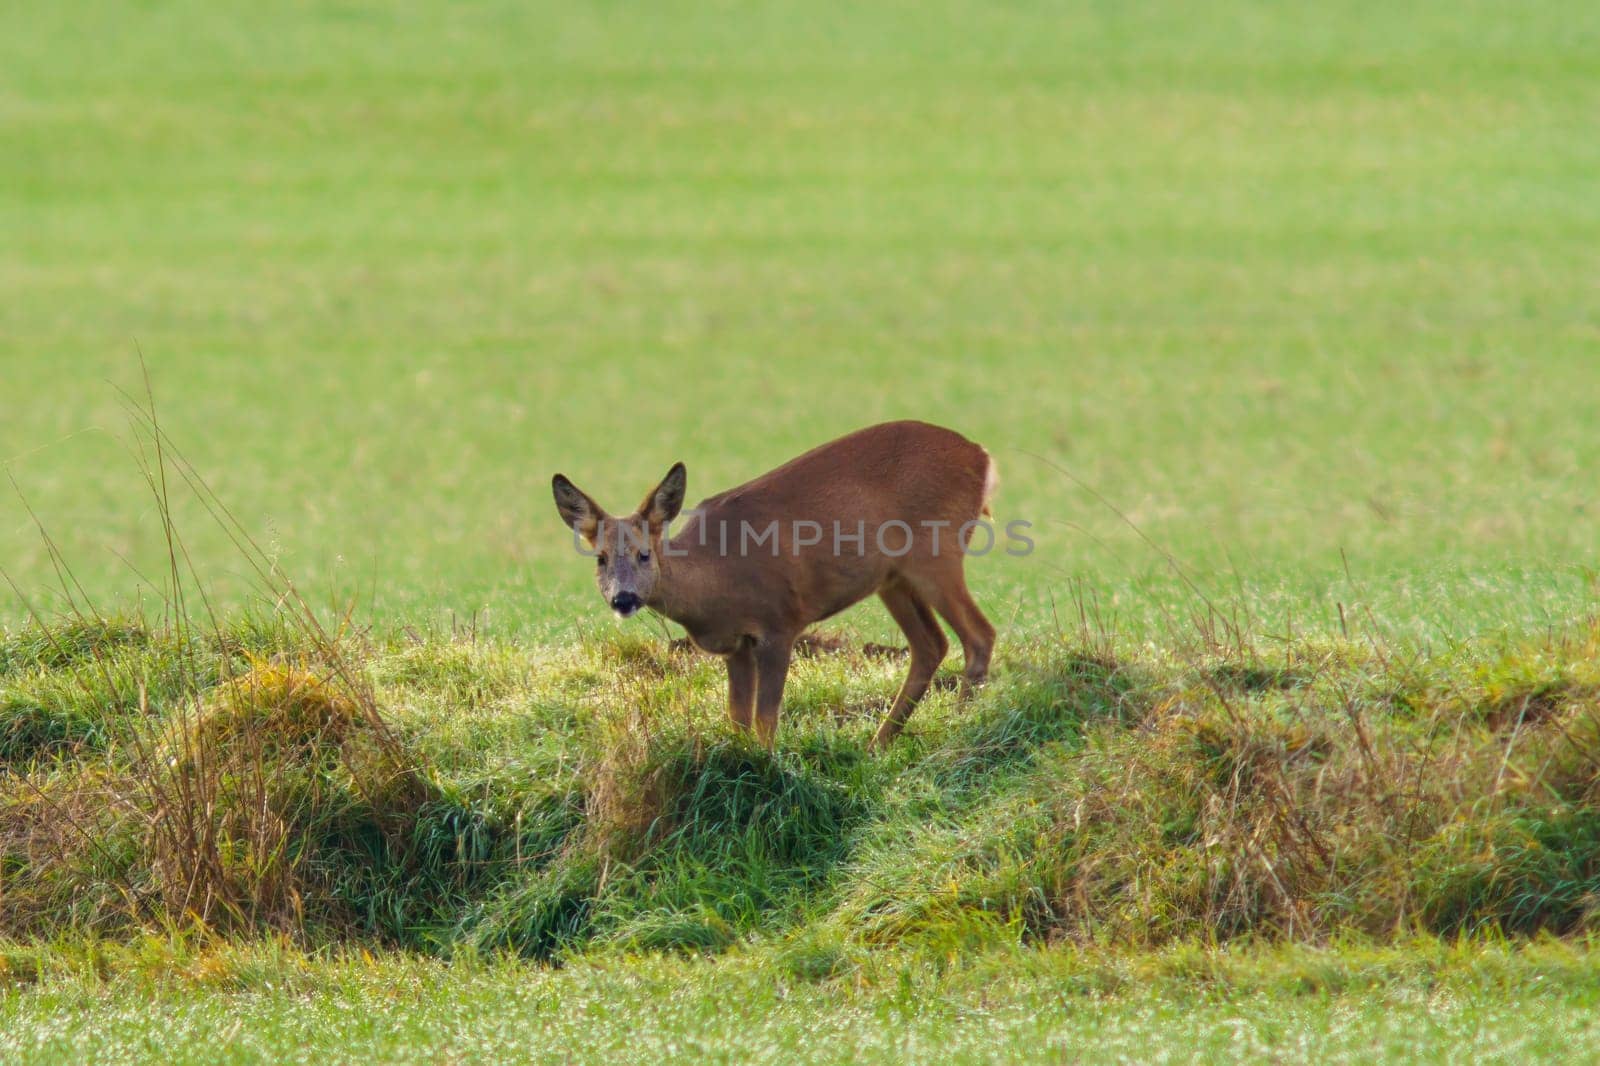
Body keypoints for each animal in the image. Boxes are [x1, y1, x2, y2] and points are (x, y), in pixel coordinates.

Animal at [556, 419, 992, 742]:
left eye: (644, 554)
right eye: (600, 558)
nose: (623, 599)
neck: (715, 579)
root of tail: (982, 456)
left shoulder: (779, 623)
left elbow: (766, 722)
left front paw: (765, 772)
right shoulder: (736, 645)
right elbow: (737, 721)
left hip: (937, 552)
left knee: (979, 634)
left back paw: (960, 726)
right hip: (893, 578)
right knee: (931, 644)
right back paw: (879, 744)